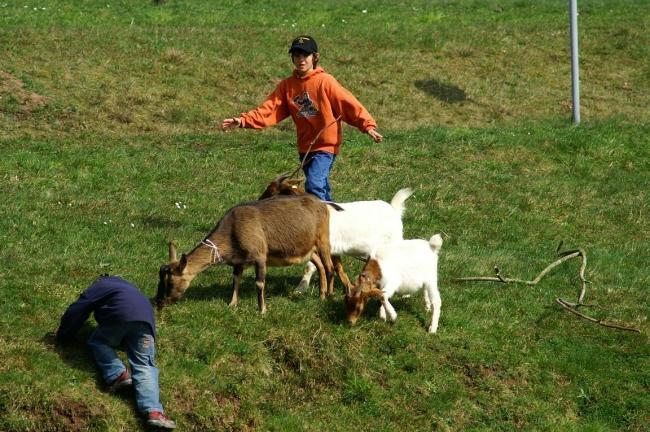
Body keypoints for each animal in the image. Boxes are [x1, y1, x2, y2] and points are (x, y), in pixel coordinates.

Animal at [157, 194, 334, 312]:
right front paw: (232, 304)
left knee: (330, 267)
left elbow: (259, 283)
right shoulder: (238, 261)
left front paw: (262, 310)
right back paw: (321, 295)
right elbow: (236, 280)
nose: (159, 303)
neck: (232, 231)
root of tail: (321, 204)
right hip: (309, 248)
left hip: (323, 240)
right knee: (320, 265)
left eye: (170, 282)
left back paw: (329, 295)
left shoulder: (260, 255)